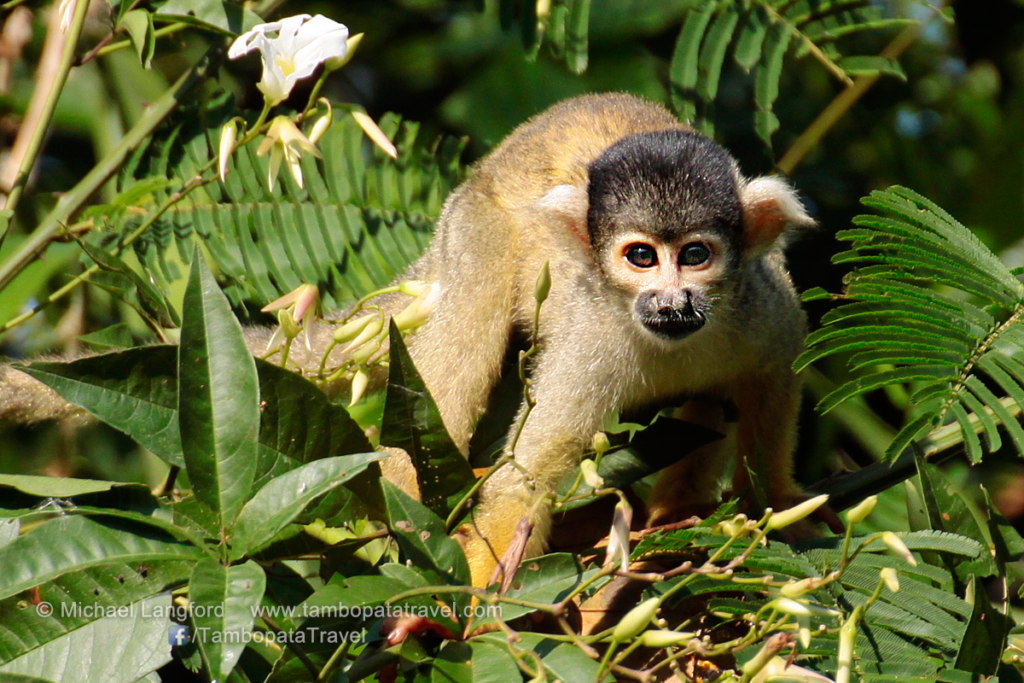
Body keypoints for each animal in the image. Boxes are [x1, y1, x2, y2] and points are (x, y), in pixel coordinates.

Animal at [0, 93, 813, 589]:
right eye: (641, 256)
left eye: (695, 255)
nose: (670, 300)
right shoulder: (591, 336)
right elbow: (526, 479)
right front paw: (474, 604)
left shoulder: (758, 305)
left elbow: (773, 382)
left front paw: (780, 502)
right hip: (475, 235)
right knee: (458, 357)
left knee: (706, 406)